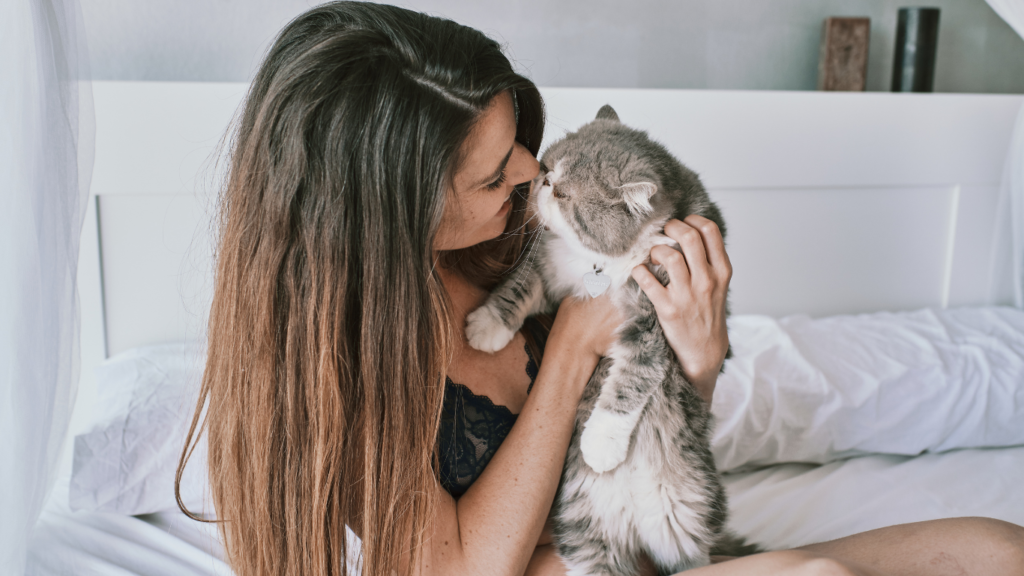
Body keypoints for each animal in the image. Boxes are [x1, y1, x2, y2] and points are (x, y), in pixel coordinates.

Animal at [464, 105, 753, 569]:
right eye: (546, 168)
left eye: (565, 194)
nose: (540, 183)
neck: (601, 263)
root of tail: (631, 525)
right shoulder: (550, 270)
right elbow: (518, 287)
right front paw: (487, 327)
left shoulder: (655, 323)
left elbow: (629, 383)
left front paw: (600, 444)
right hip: (585, 538)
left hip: (689, 528)